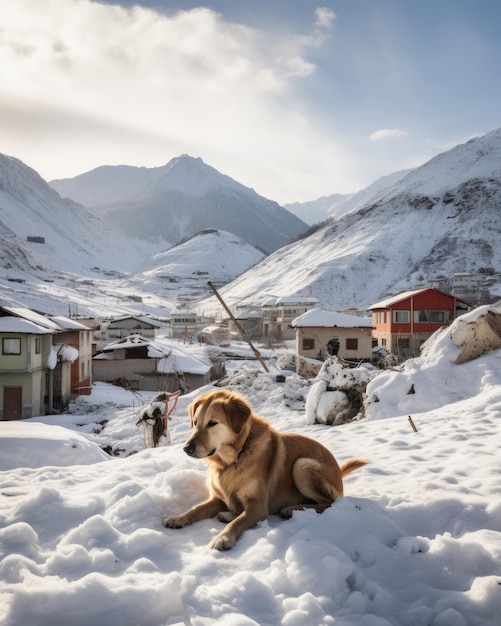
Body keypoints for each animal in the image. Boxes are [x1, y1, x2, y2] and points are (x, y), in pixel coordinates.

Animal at [164, 388, 368, 548]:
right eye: (195, 422)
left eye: (212, 423)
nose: (186, 448)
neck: (236, 457)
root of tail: (339, 472)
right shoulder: (218, 498)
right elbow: (197, 509)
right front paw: (178, 518)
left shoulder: (258, 506)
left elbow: (239, 522)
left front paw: (223, 538)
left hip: (302, 465)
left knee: (328, 502)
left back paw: (291, 509)